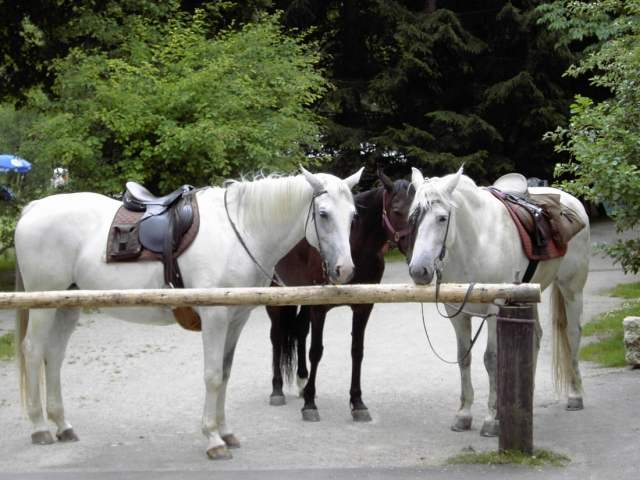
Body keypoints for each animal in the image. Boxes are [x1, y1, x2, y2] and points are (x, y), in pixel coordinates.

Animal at [15, 167, 362, 460]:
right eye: (323, 214)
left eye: (353, 215)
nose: (344, 270)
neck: (240, 232)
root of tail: (33, 209)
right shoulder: (215, 318)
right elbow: (212, 376)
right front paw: (213, 439)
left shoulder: (236, 319)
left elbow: (225, 374)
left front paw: (226, 432)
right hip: (43, 304)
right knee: (33, 351)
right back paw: (40, 427)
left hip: (66, 305)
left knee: (54, 356)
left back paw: (62, 425)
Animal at [266, 171, 412, 422]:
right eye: (397, 210)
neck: (354, 248)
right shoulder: (320, 308)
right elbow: (316, 351)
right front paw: (310, 405)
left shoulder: (363, 307)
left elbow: (357, 351)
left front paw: (358, 403)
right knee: (276, 336)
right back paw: (277, 390)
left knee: (299, 331)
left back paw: (302, 381)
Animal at [408, 167, 588, 436]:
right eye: (413, 218)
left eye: (442, 218)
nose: (419, 271)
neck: (476, 244)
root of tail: (572, 202)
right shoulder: (456, 312)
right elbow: (464, 357)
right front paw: (464, 414)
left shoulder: (495, 308)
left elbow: (491, 359)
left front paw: (492, 418)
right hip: (529, 294)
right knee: (535, 337)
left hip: (572, 288)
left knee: (573, 334)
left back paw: (576, 396)